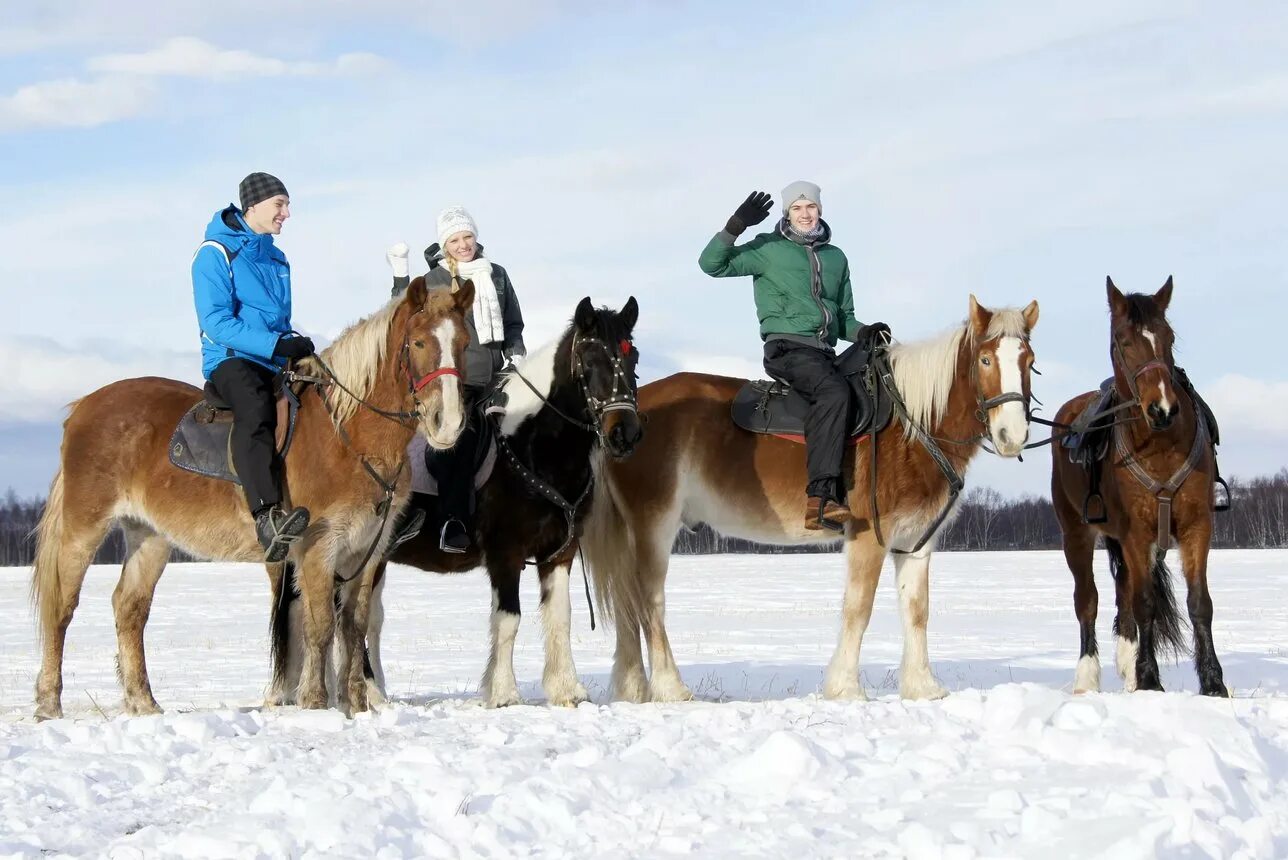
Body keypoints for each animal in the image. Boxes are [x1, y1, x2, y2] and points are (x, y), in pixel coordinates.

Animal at [31, 279, 473, 715]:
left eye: (465, 343)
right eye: (417, 342)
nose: (447, 423)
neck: (349, 436)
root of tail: (82, 407)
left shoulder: (367, 551)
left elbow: (354, 626)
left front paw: (358, 706)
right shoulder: (319, 547)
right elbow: (320, 625)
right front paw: (316, 702)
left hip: (149, 535)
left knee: (130, 608)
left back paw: (144, 703)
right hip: (84, 527)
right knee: (62, 607)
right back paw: (49, 703)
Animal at [269, 298, 641, 710]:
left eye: (633, 357)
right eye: (591, 360)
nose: (625, 433)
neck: (533, 445)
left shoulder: (559, 552)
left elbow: (561, 615)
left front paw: (566, 690)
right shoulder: (505, 552)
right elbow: (508, 619)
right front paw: (504, 693)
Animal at [584, 297, 1035, 705]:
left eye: (1029, 361)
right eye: (985, 360)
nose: (1012, 436)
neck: (912, 425)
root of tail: (621, 417)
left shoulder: (916, 541)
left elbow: (917, 611)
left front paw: (923, 687)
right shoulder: (868, 536)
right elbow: (858, 608)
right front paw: (846, 688)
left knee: (627, 602)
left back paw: (633, 689)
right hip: (654, 522)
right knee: (649, 600)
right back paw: (670, 688)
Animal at [1045, 279, 1226, 695]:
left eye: (1169, 337)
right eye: (1123, 341)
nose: (1162, 409)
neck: (1160, 445)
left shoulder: (1196, 526)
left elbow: (1199, 603)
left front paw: (1213, 682)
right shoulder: (1136, 533)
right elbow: (1145, 603)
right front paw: (1149, 679)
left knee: (1122, 599)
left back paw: (1128, 668)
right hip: (1075, 535)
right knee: (1088, 601)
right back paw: (1088, 677)